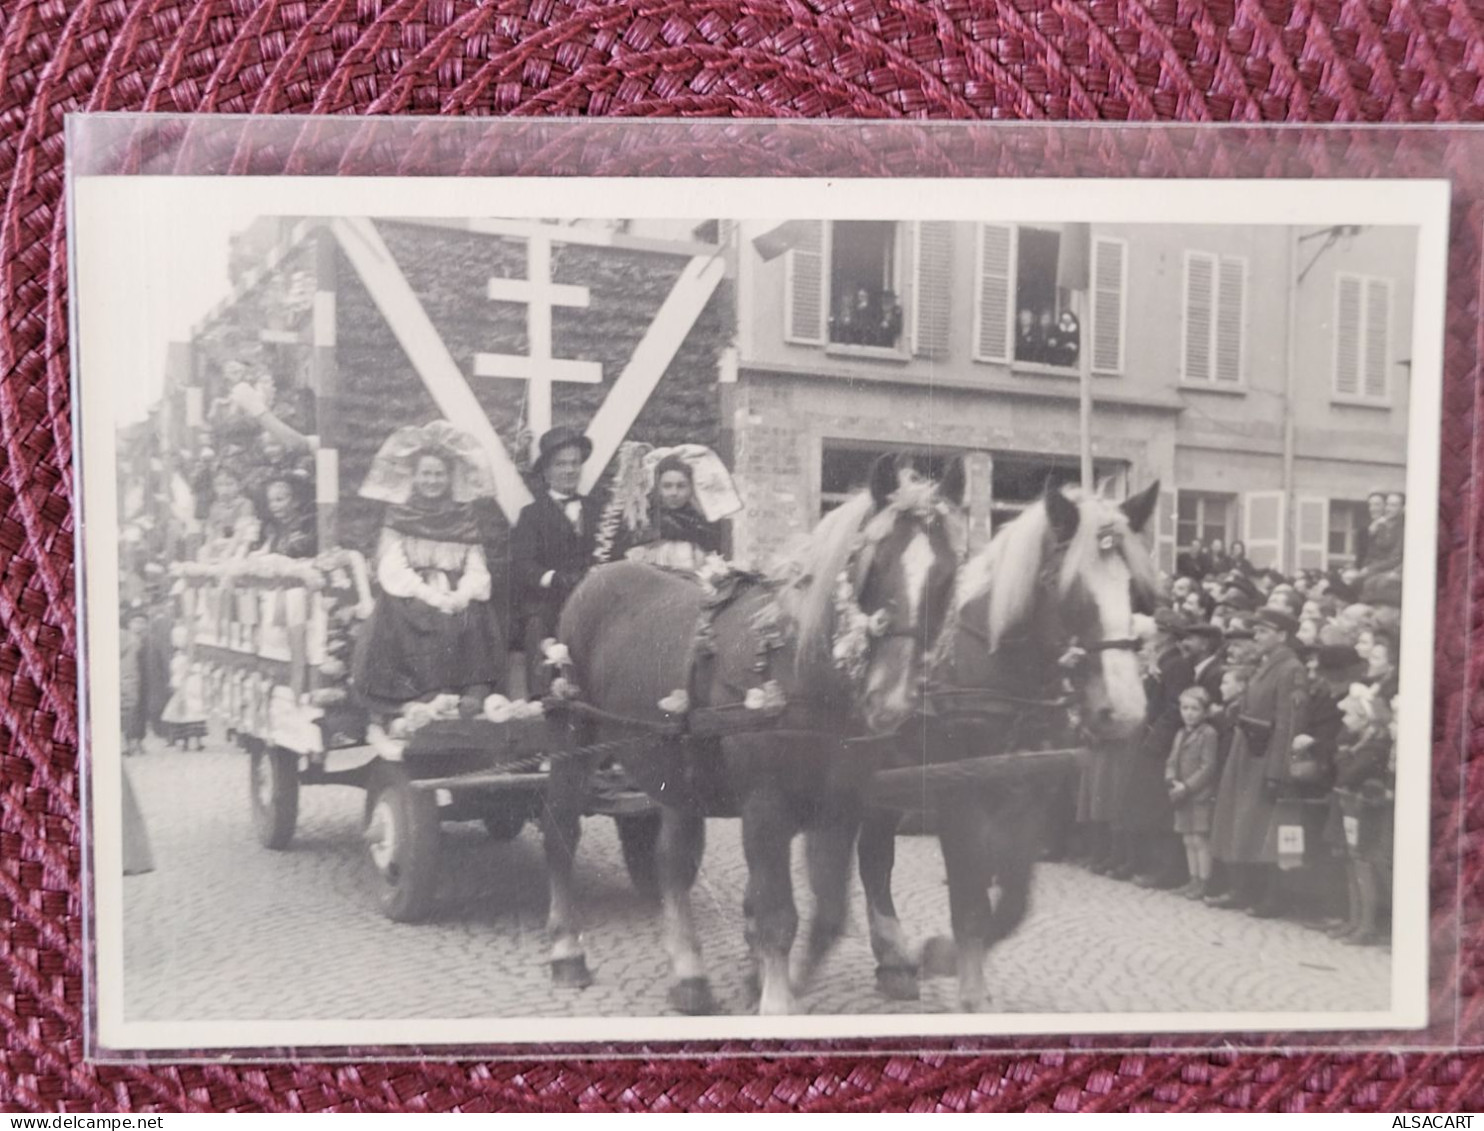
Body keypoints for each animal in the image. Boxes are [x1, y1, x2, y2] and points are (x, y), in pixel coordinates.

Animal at [540, 457, 967, 1015]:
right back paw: (567, 951)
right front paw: (776, 1000)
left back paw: (690, 976)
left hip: (677, 771)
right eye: (873, 566)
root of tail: (598, 575)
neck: (796, 672)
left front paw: (768, 979)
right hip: (573, 739)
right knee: (562, 833)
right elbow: (777, 913)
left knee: (672, 862)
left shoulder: (842, 806)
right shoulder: (767, 807)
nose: (892, 699)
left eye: (948, 574)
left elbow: (829, 913)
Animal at [860, 480, 1157, 1009]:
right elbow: (970, 896)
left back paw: (894, 963)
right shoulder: (957, 796)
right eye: (1071, 589)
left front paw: (942, 955)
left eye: (1133, 588)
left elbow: (1014, 899)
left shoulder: (1031, 794)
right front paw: (966, 984)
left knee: (873, 854)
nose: (1123, 710)